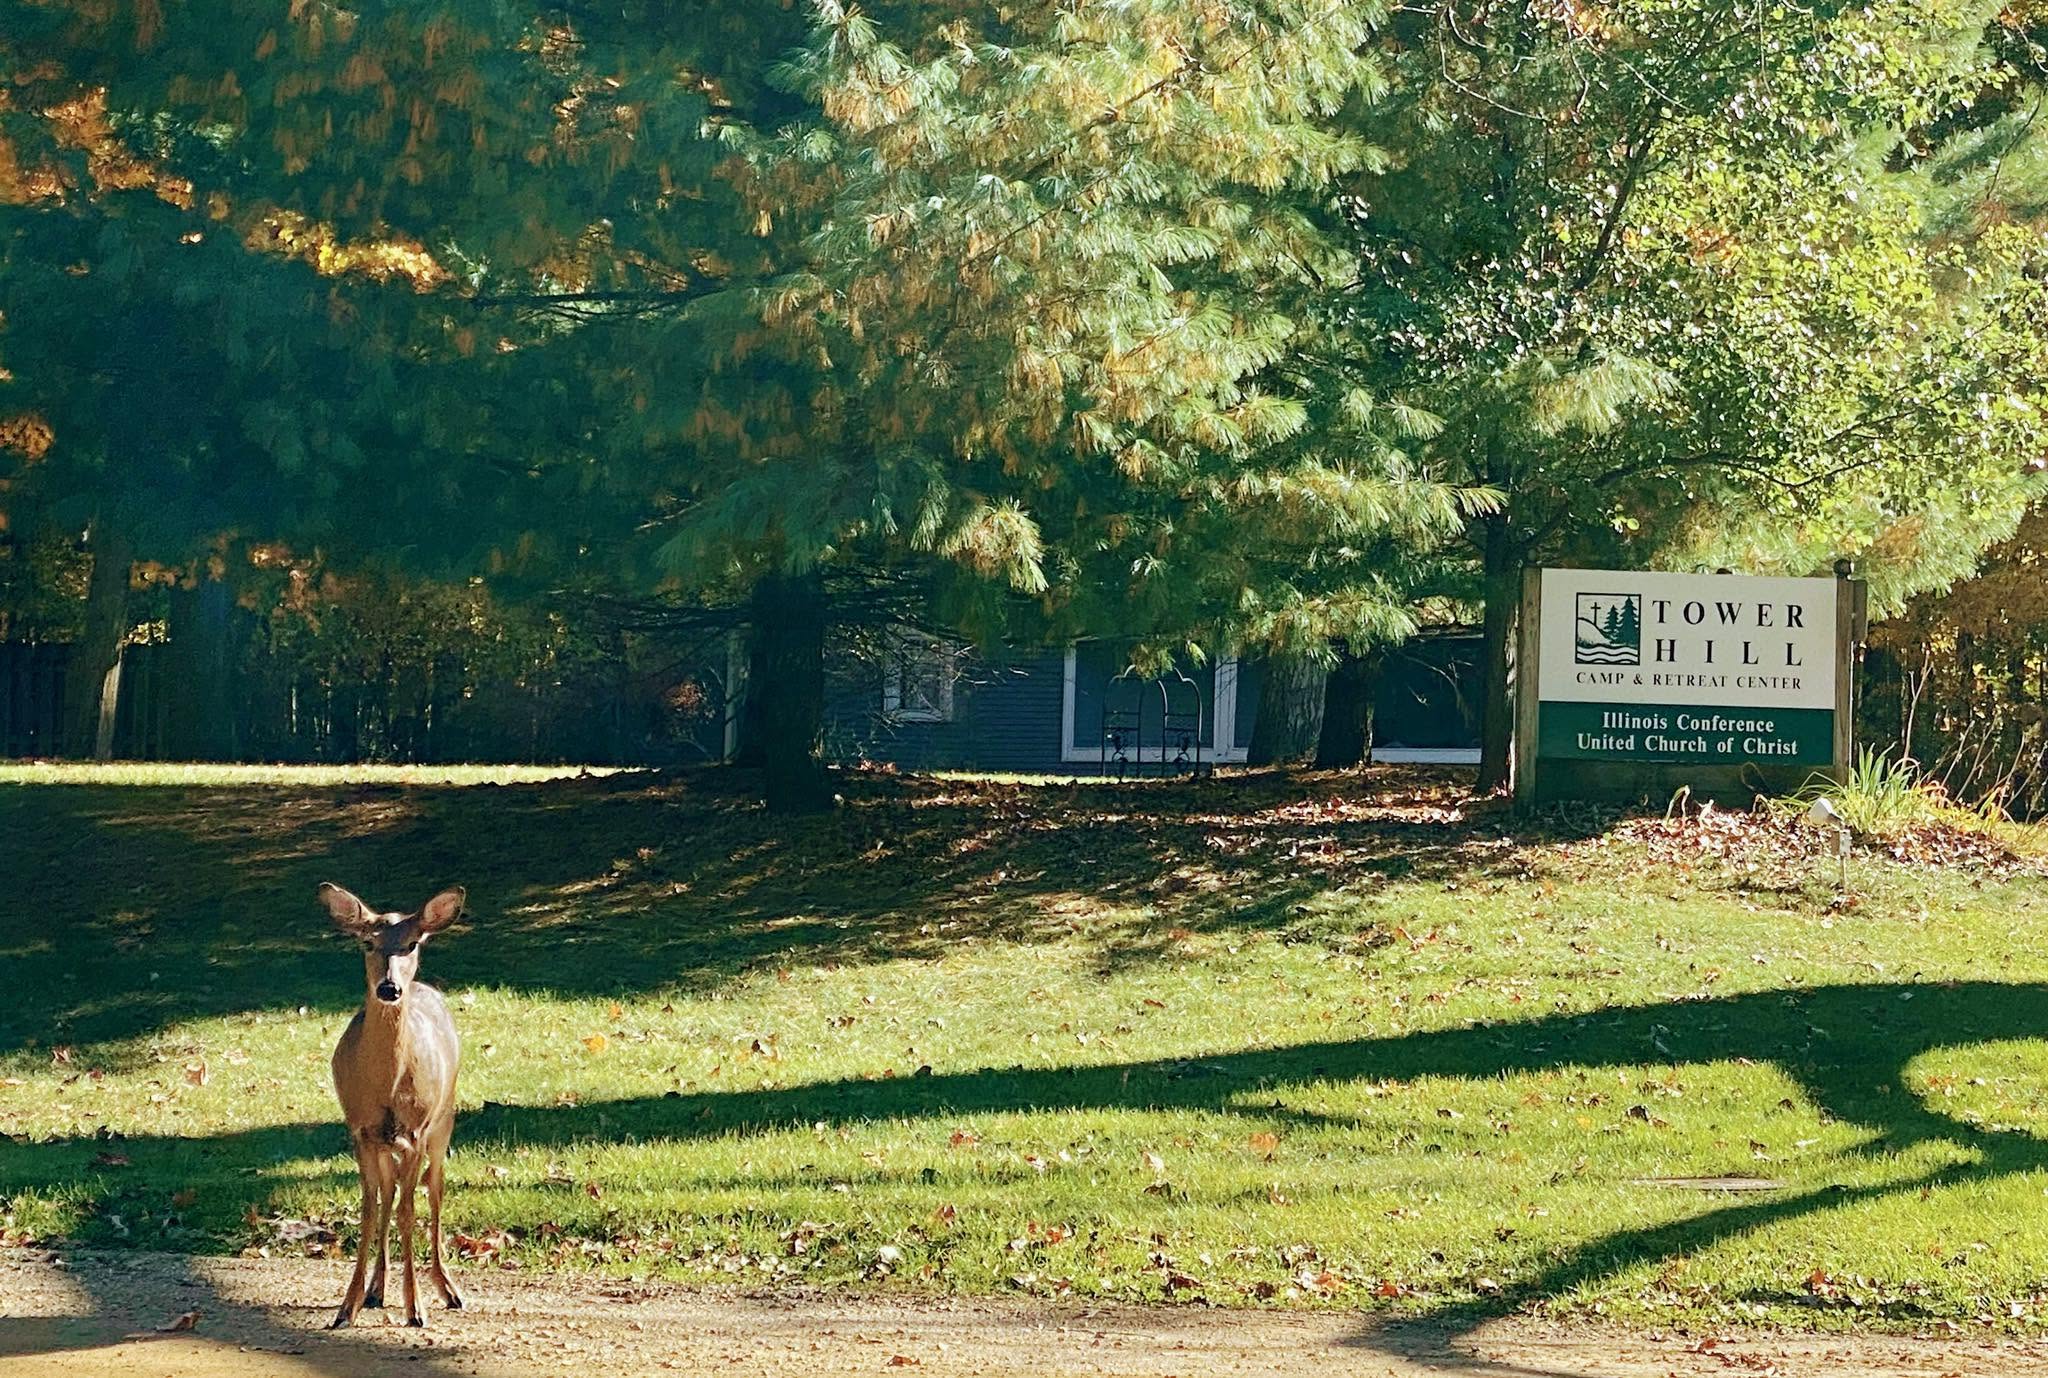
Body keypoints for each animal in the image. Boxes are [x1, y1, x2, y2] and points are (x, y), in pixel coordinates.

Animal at [320, 881, 467, 1329]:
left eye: (413, 942)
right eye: (367, 942)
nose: (389, 988)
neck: (386, 1084)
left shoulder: (416, 1131)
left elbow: (408, 1211)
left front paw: (415, 1308)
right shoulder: (359, 1129)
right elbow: (370, 1210)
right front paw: (346, 1306)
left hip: (444, 1121)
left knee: (434, 1192)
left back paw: (448, 1290)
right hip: (389, 1144)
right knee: (389, 1194)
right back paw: (376, 1290)